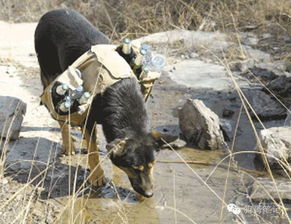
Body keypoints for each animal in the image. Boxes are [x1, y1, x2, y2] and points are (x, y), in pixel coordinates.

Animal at [35, 8, 162, 198]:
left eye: (152, 166)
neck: (119, 90)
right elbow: (93, 149)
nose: (149, 195)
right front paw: (97, 176)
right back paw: (68, 143)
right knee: (60, 116)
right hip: (50, 74)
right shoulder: (89, 118)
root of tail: (50, 12)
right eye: (135, 168)